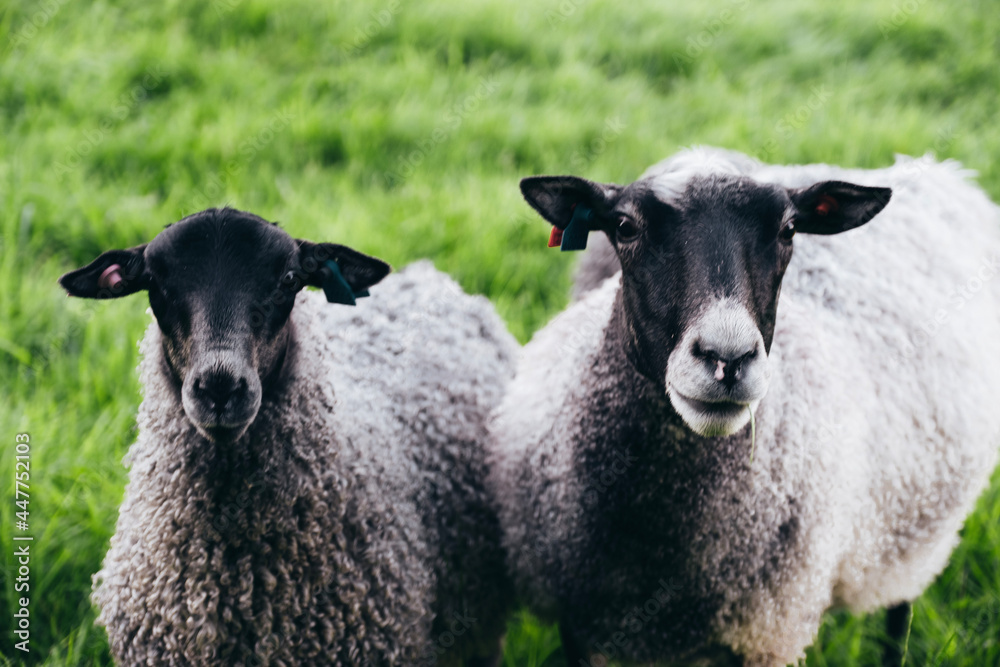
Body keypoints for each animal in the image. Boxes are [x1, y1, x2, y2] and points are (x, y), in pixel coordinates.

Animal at [487, 147, 1000, 667]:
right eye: (626, 227)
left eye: (789, 230)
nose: (727, 358)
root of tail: (934, 169)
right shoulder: (579, 621)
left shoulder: (765, 636)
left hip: (914, 543)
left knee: (898, 616)